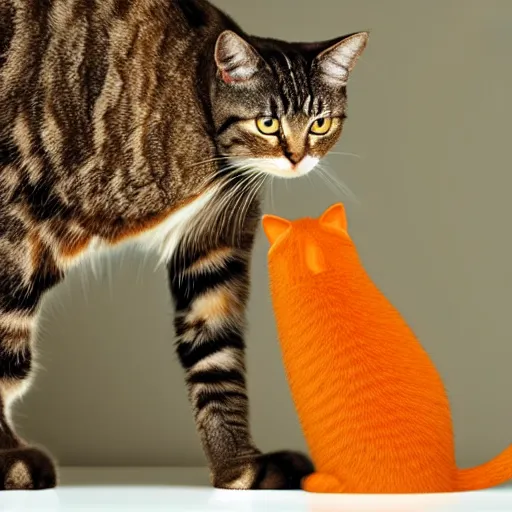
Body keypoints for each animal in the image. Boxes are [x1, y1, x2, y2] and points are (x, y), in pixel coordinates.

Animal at [0, 0, 368, 492]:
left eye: (320, 123)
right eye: (267, 123)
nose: (296, 157)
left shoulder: (213, 246)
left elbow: (217, 357)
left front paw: (240, 467)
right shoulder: (20, 226)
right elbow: (4, 354)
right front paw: (8, 460)